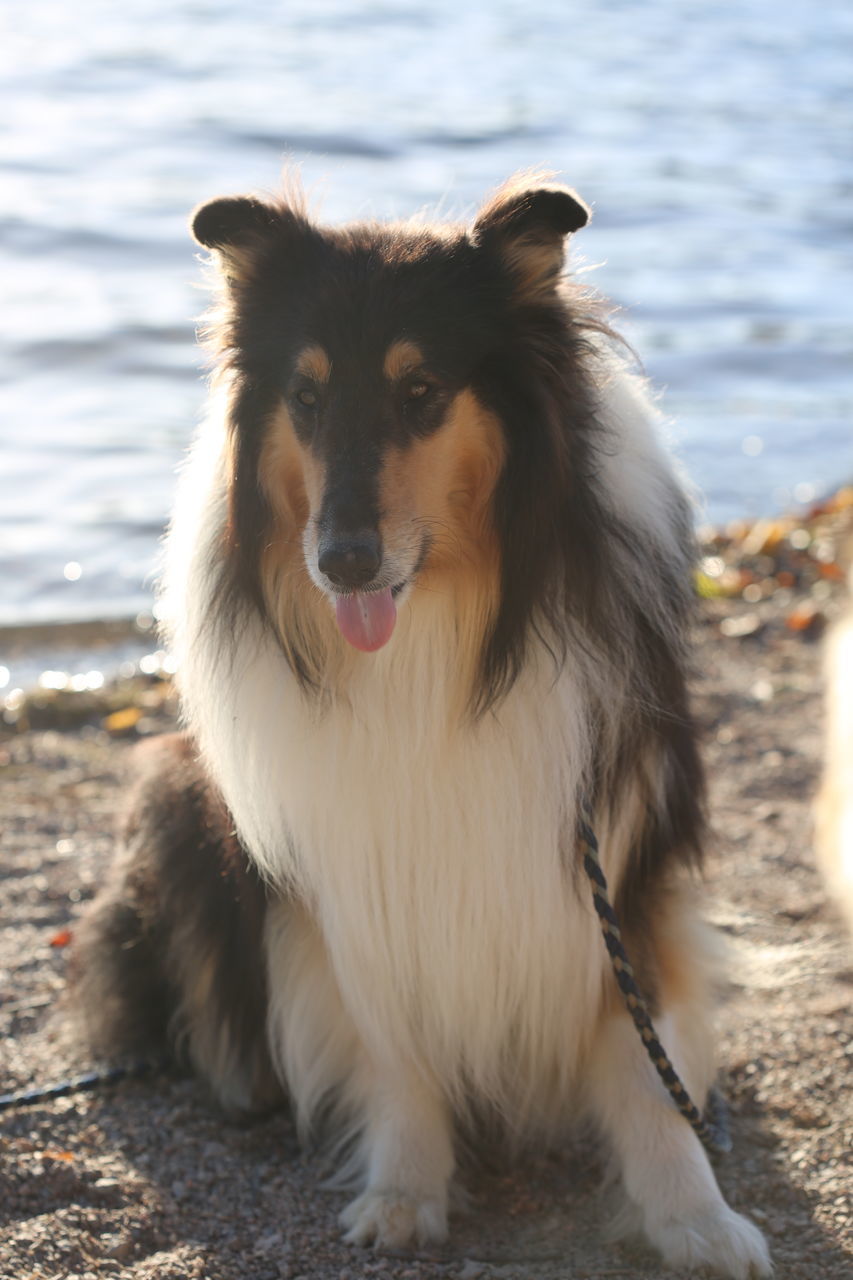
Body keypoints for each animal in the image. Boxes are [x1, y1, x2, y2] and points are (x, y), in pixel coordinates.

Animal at [73, 175, 768, 1274]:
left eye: (421, 391)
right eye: (307, 396)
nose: (343, 562)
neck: (436, 633)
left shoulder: (617, 847)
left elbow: (637, 1043)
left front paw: (693, 1216)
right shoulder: (351, 868)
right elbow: (388, 1038)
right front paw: (403, 1189)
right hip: (178, 800)